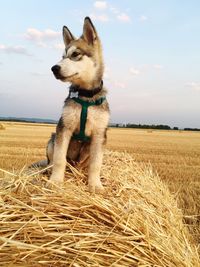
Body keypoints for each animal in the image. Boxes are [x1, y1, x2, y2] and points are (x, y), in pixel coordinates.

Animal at [45, 17, 109, 193]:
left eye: (75, 55)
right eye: (62, 56)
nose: (54, 68)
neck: (86, 96)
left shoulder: (99, 135)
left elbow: (96, 164)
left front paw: (95, 184)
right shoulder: (64, 128)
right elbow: (59, 159)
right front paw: (55, 181)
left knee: (83, 165)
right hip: (52, 139)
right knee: (52, 160)